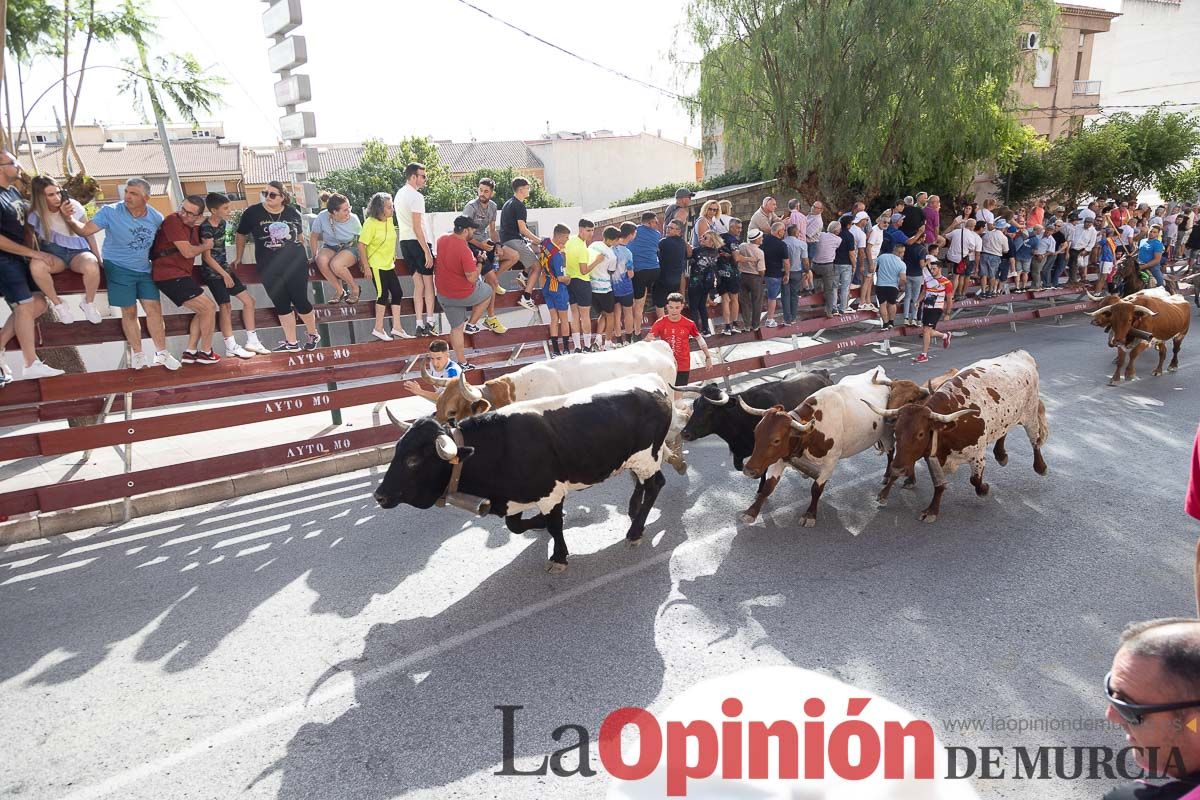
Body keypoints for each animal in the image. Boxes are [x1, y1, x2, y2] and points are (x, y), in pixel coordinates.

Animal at [374, 371, 676, 573]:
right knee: (644, 483)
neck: (498, 445)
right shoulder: (513, 498)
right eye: (397, 452)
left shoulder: (550, 492)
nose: (379, 495)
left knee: (655, 484)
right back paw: (634, 511)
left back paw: (635, 532)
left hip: (648, 456)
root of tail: (653, 381)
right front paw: (540, 524)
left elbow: (554, 525)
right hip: (637, 459)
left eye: (413, 459)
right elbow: (517, 526)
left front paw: (559, 556)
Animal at [864, 347, 1051, 522]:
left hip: (1030, 414)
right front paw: (932, 510)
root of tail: (1020, 354)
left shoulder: (977, 455)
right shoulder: (932, 456)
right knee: (1004, 430)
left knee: (1035, 441)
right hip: (1007, 415)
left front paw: (984, 489)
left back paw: (1040, 466)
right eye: (896, 431)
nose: (896, 468)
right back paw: (1001, 455)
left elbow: (975, 480)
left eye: (921, 434)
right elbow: (939, 485)